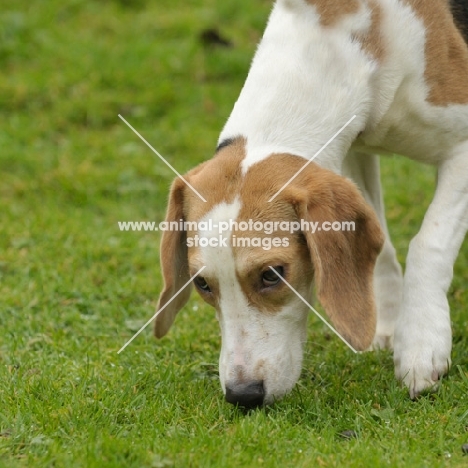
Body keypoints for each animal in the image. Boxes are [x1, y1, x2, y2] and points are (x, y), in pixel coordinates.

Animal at [154, 0, 468, 406]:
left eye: (272, 274)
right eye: (202, 284)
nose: (243, 395)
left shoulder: (462, 147)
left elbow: (429, 243)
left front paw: (420, 341)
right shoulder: (352, 152)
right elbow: (381, 246)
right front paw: (388, 320)